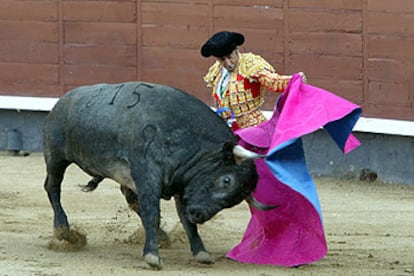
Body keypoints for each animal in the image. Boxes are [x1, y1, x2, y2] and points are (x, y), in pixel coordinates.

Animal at [43, 81, 270, 268]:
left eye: (235, 200)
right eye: (226, 180)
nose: (199, 214)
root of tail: (63, 100)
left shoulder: (183, 186)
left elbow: (185, 222)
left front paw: (201, 253)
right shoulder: (148, 176)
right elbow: (152, 213)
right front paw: (152, 257)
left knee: (132, 201)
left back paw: (162, 237)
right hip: (55, 157)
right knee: (52, 186)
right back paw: (63, 229)